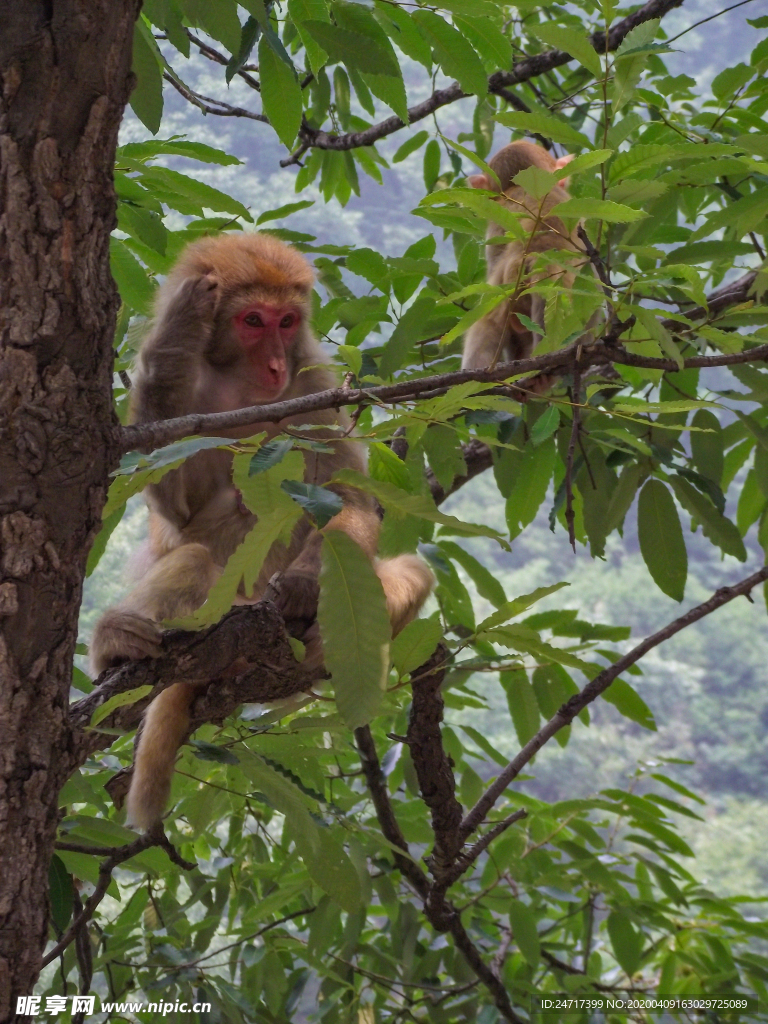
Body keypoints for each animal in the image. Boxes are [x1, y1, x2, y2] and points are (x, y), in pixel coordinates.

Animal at [91, 234, 434, 831]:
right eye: (254, 320)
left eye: (287, 321)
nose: (276, 364)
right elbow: (179, 507)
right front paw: (179, 329)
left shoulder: (314, 383)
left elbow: (347, 500)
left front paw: (304, 583)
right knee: (195, 558)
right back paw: (114, 645)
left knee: (410, 567)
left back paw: (316, 644)